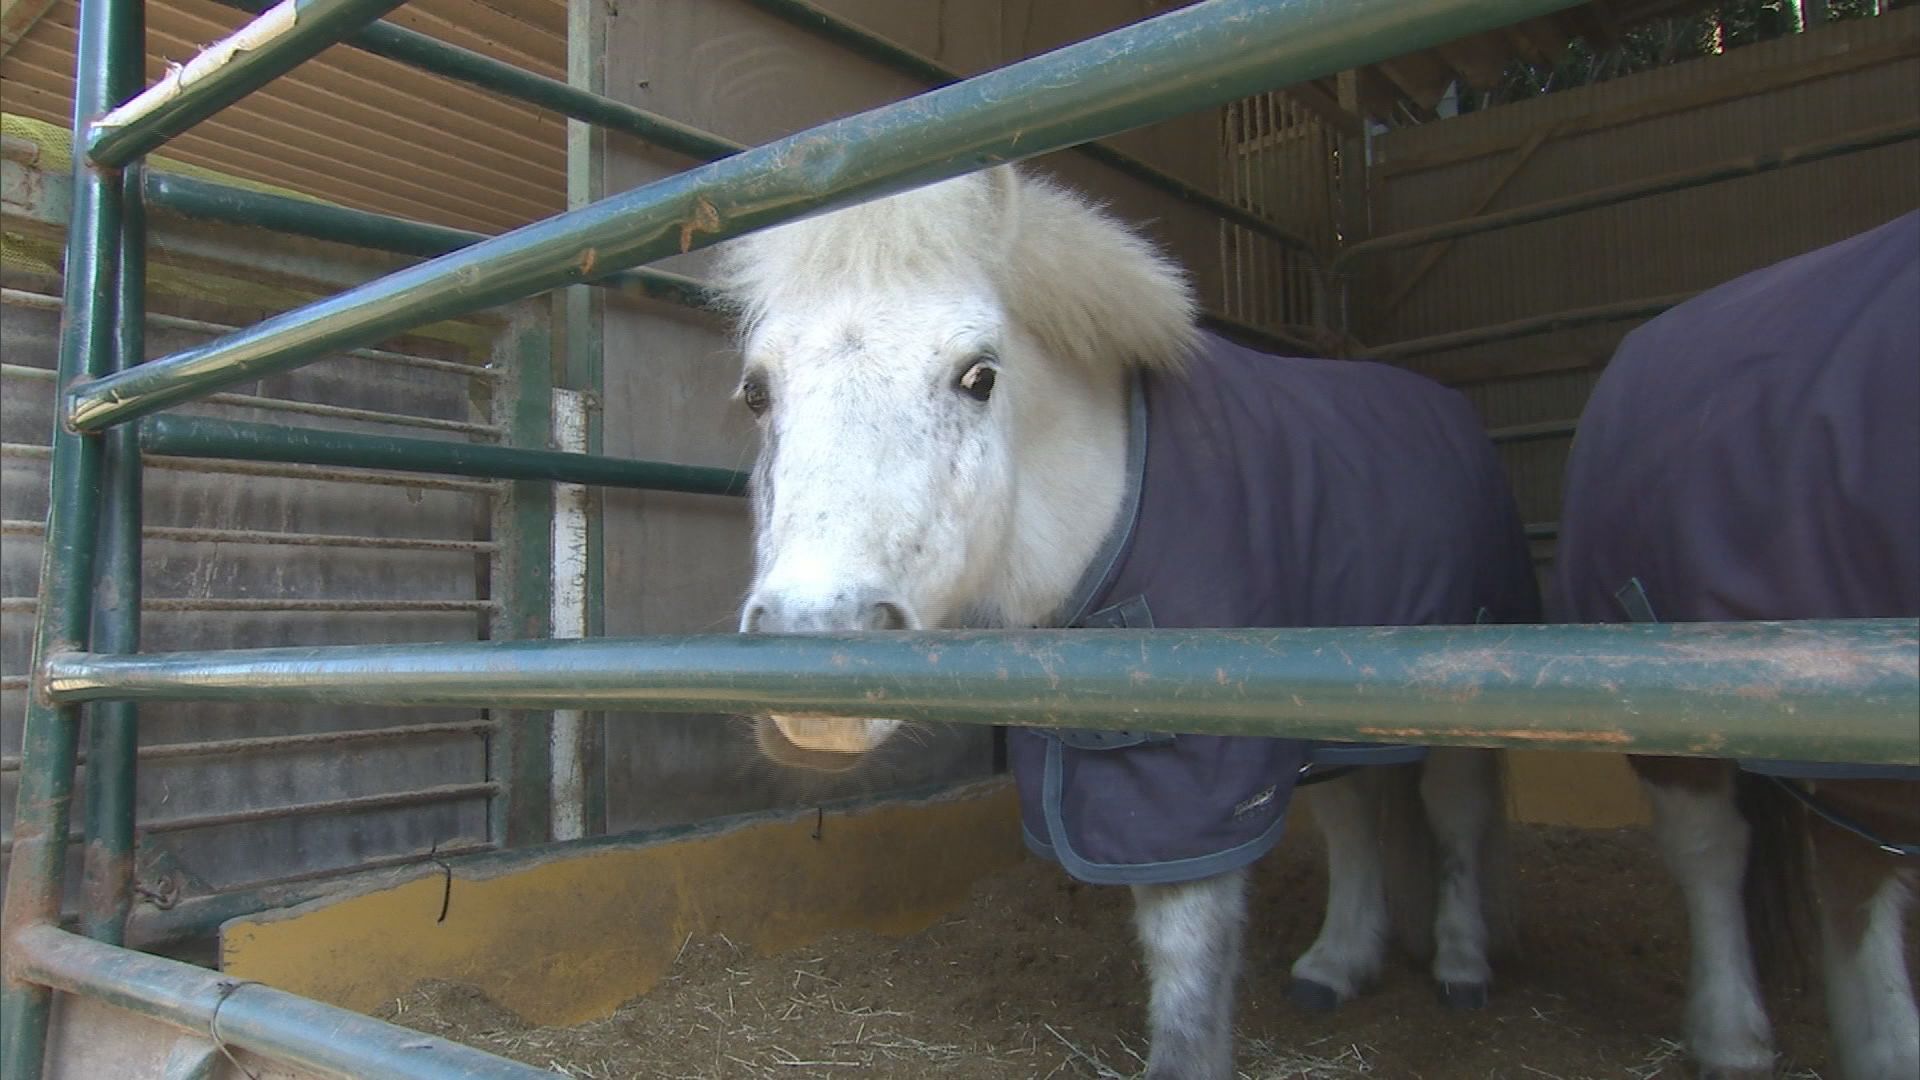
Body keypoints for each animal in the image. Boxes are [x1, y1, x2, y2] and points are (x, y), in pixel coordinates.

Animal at [712, 165, 1540, 1079]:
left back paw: (1461, 964)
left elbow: (1188, 963)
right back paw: (1337, 965)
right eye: (757, 392)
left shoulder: (1195, 778)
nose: (812, 650)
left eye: (979, 376)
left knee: (1456, 811)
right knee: (1357, 814)